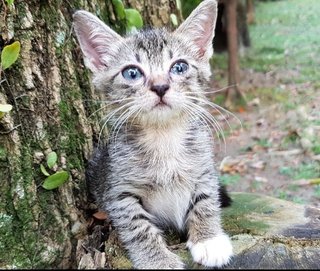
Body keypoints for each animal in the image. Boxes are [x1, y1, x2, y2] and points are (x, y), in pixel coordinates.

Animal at [72, 0, 232, 268]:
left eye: (179, 67)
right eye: (132, 73)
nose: (160, 86)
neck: (163, 136)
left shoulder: (204, 167)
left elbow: (206, 200)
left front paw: (208, 239)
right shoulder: (118, 190)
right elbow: (138, 226)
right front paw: (158, 260)